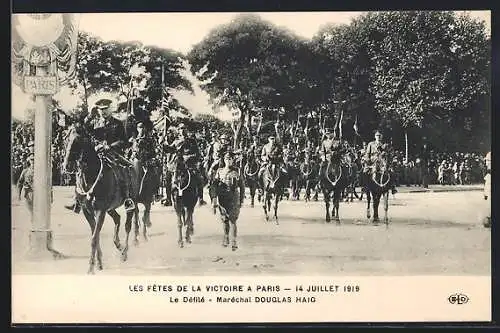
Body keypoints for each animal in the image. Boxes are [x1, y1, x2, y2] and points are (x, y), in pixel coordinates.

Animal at [61, 126, 145, 274]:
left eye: (78, 141)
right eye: (66, 139)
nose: (66, 166)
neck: (91, 176)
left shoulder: (100, 211)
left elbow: (94, 237)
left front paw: (91, 267)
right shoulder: (87, 211)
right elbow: (96, 234)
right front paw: (99, 263)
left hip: (130, 203)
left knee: (128, 225)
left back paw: (124, 252)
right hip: (110, 209)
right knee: (117, 219)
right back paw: (118, 244)